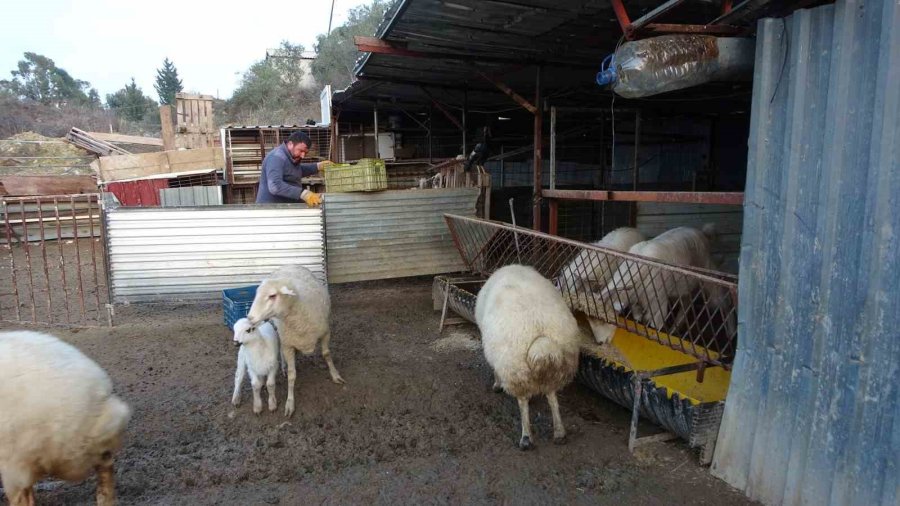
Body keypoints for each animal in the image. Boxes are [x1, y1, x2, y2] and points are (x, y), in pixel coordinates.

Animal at [246, 262, 344, 418]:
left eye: (272, 295)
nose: (250, 318)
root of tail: (289, 264)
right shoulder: (288, 344)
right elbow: (292, 376)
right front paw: (289, 403)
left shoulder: (325, 332)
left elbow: (326, 354)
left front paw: (335, 375)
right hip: (280, 334)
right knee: (281, 351)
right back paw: (284, 367)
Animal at [474, 264, 580, 450]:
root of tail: (542, 342)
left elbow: (495, 371)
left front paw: (497, 385)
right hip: (556, 370)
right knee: (552, 397)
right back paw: (559, 432)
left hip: (515, 369)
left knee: (523, 402)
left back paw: (526, 437)